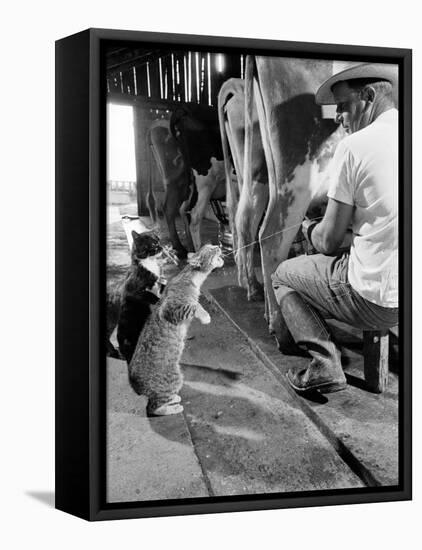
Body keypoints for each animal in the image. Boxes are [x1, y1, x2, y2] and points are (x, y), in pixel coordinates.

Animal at [130, 246, 224, 418]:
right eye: (211, 248)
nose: (219, 246)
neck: (190, 277)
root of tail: (134, 385)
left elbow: (195, 304)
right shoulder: (172, 309)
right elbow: (195, 305)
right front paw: (205, 316)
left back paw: (174, 399)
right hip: (174, 378)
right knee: (153, 408)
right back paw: (174, 407)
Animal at [219, 57, 344, 340]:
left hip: (258, 175)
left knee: (244, 217)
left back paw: (253, 289)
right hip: (297, 177)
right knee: (270, 235)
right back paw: (280, 325)